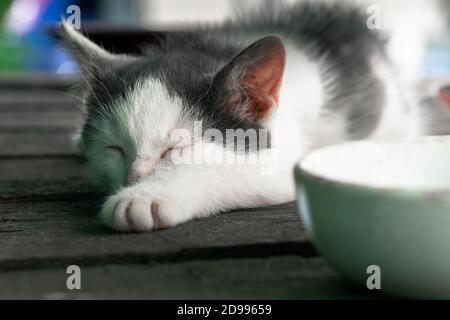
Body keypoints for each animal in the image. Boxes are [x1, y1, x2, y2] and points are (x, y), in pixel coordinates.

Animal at [58, 1, 444, 232]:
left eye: (175, 150)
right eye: (114, 149)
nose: (134, 178)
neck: (213, 48)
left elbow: (215, 169)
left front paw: (144, 198)